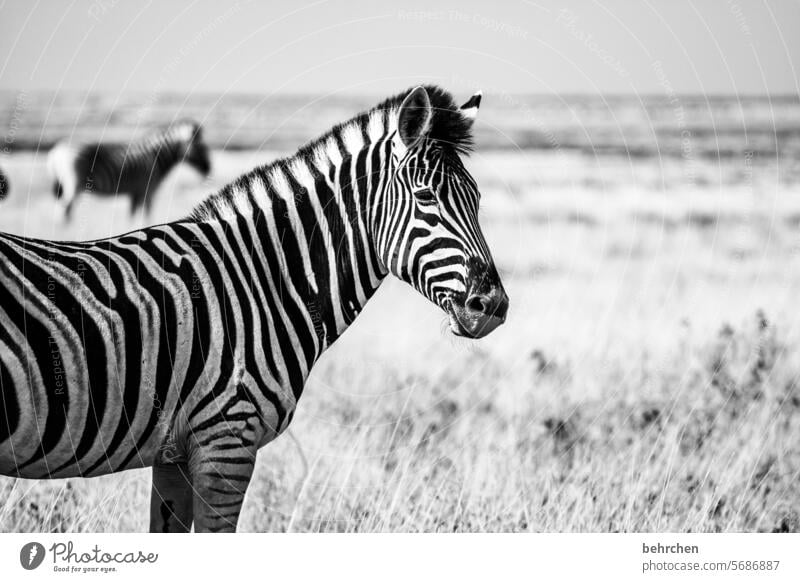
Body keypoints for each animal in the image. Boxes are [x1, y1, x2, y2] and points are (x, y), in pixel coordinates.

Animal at [45, 121, 211, 224]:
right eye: (201, 147)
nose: (209, 169)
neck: (156, 157)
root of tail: (56, 150)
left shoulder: (135, 193)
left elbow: (132, 218)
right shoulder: (148, 191)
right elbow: (147, 216)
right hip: (73, 184)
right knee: (65, 209)